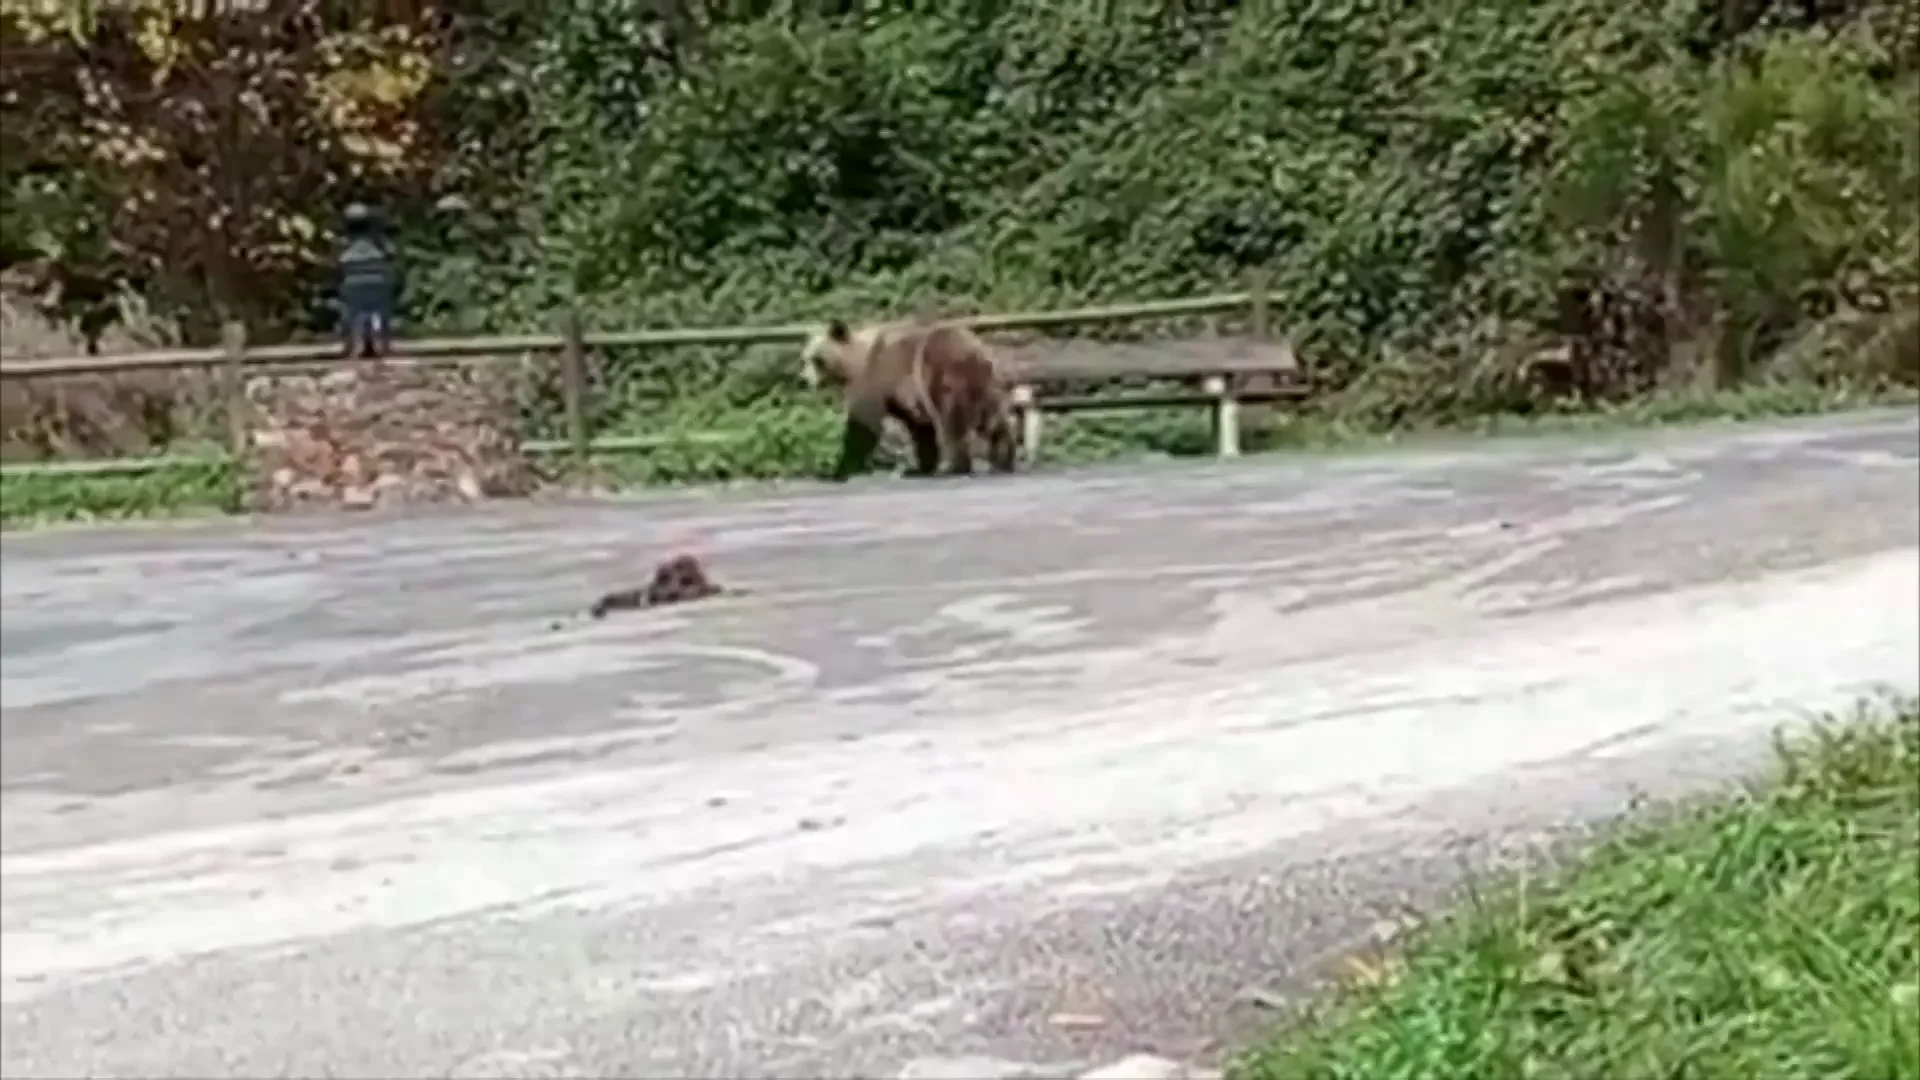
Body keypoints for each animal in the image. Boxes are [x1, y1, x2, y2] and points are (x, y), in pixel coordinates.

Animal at [799, 317, 1020, 482]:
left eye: (817, 359)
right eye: (804, 357)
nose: (803, 379)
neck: (855, 363)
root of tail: (978, 352)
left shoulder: (877, 379)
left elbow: (862, 425)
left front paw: (840, 470)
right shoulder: (904, 395)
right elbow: (920, 429)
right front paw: (922, 466)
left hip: (942, 375)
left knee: (951, 420)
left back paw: (954, 466)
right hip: (987, 385)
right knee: (993, 420)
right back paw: (1004, 460)